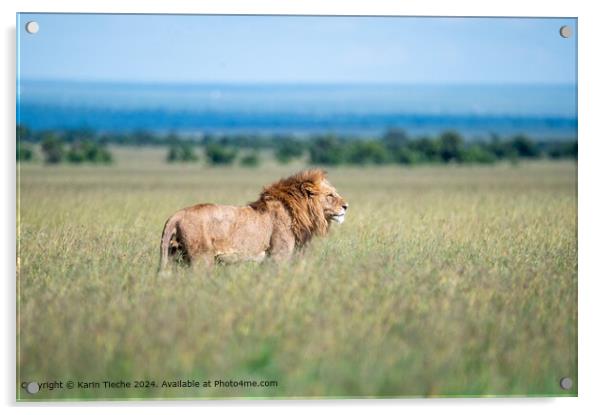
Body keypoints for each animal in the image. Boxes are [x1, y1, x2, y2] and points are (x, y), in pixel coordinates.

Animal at [157, 169, 350, 272]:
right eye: (330, 195)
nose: (346, 206)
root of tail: (177, 215)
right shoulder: (278, 256)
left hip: (175, 256)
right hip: (201, 259)